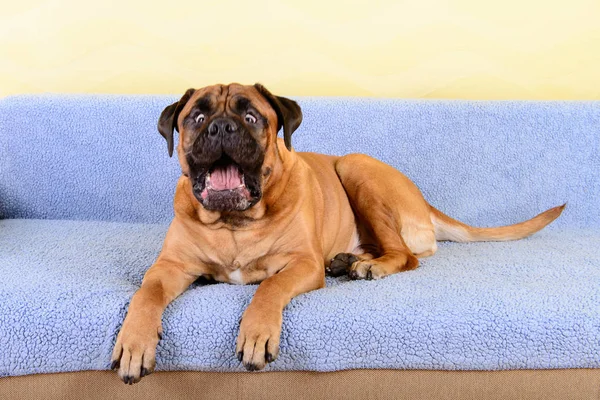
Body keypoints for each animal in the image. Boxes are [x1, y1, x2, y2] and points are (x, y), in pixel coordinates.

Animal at [110, 83, 564, 382]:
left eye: (252, 117)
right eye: (198, 117)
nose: (222, 127)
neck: (234, 222)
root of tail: (423, 201)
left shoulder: (302, 265)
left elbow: (268, 288)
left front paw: (257, 332)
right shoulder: (171, 266)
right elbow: (146, 292)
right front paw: (134, 342)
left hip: (355, 167)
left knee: (408, 255)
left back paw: (368, 267)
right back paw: (351, 259)